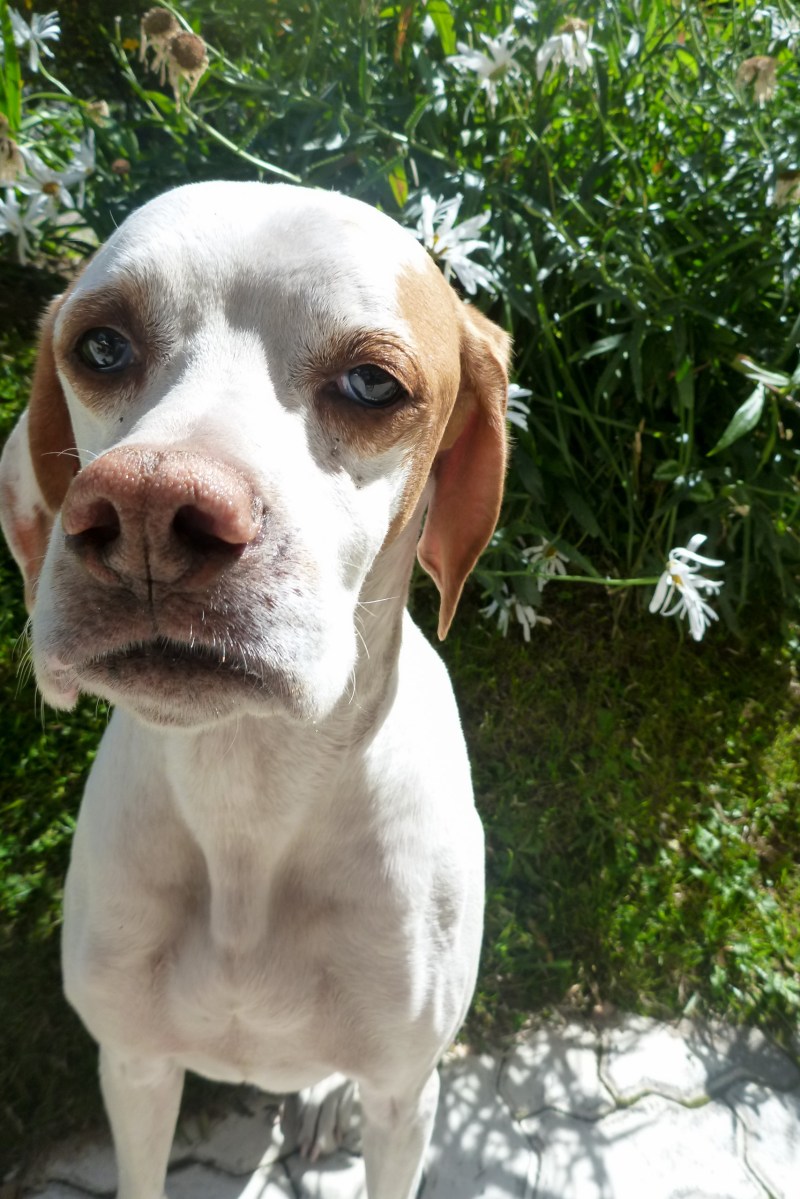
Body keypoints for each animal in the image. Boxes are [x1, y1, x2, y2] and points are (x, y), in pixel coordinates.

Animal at [0, 181, 509, 1198]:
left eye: (372, 384)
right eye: (101, 346)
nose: (149, 508)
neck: (247, 797)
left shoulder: (406, 1095)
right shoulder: (134, 1067)